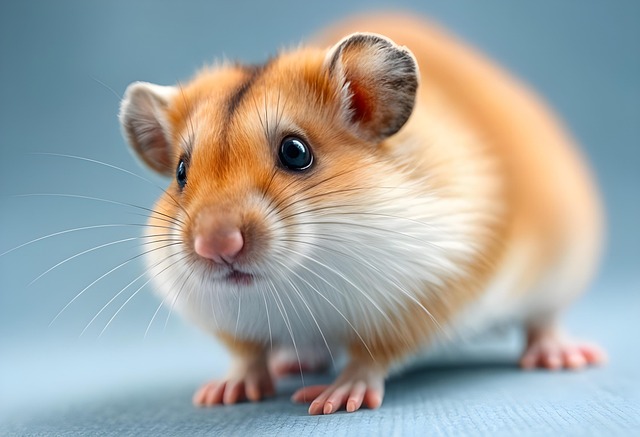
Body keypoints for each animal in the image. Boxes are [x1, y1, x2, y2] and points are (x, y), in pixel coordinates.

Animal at [118, 14, 605, 415]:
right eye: (181, 171)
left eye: (296, 152)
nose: (214, 245)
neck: (296, 283)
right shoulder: (229, 323)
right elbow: (246, 355)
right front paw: (220, 394)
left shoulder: (420, 297)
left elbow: (370, 358)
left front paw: (331, 400)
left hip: (559, 272)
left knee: (544, 320)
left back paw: (562, 357)